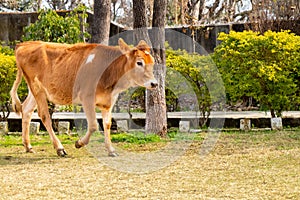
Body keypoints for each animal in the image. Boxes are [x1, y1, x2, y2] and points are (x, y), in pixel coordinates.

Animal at [9, 39, 157, 157]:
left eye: (153, 62)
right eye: (139, 63)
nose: (154, 83)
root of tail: (24, 44)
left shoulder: (109, 101)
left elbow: (107, 124)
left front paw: (111, 150)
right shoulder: (87, 98)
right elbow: (93, 125)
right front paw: (79, 143)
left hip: (36, 90)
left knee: (26, 110)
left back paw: (28, 146)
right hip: (37, 88)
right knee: (44, 116)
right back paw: (59, 148)